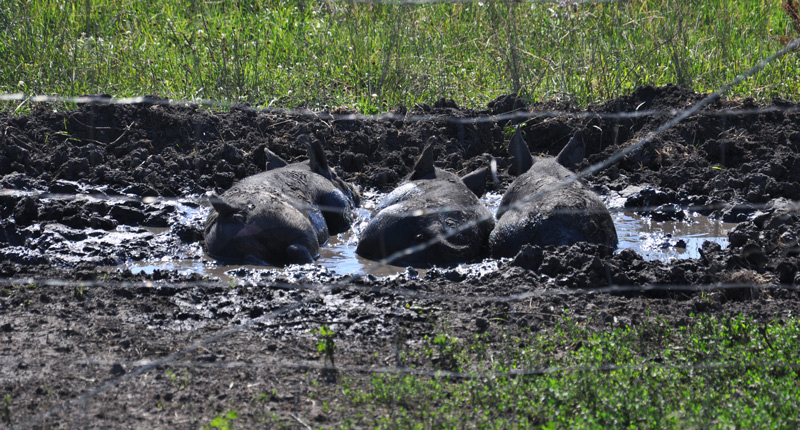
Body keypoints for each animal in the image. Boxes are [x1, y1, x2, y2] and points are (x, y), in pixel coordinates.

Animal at [203, 136, 360, 266]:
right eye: (336, 174)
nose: (356, 192)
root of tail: (229, 209)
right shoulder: (332, 196)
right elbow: (343, 218)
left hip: (222, 244)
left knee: (253, 257)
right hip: (292, 223)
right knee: (297, 249)